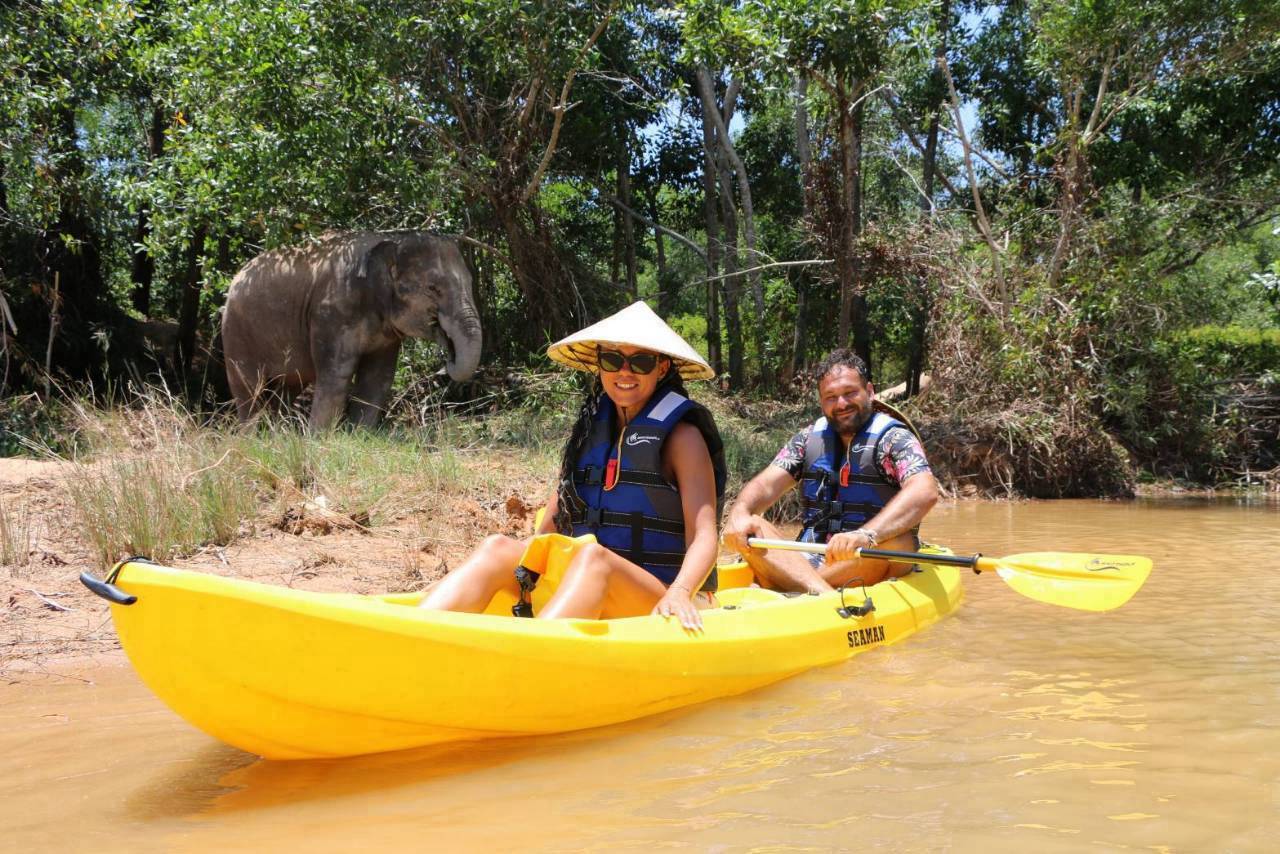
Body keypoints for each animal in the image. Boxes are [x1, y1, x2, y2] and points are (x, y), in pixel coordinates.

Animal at [221, 230, 481, 429]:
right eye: (433, 289)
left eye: (470, 284)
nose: (448, 357)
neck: (393, 240)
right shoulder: (332, 314)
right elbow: (337, 374)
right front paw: (318, 440)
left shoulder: (386, 335)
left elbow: (378, 378)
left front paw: (359, 435)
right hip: (236, 332)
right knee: (247, 387)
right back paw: (253, 436)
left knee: (286, 390)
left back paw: (276, 435)